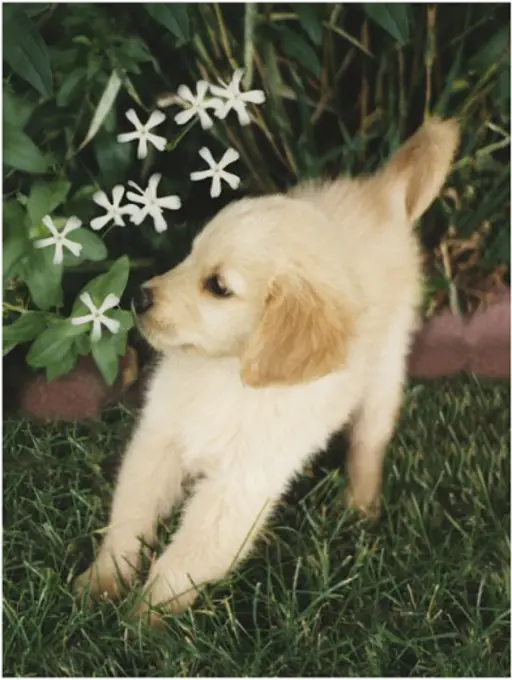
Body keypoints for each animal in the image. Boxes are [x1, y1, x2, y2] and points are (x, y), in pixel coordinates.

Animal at [75, 117, 460, 620]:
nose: (139, 297)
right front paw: (102, 583)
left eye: (218, 287)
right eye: (190, 256)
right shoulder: (159, 440)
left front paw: (142, 624)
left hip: (385, 370)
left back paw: (359, 506)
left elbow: (184, 561)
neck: (227, 375)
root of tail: (379, 193)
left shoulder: (237, 488)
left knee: (369, 442)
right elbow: (130, 517)